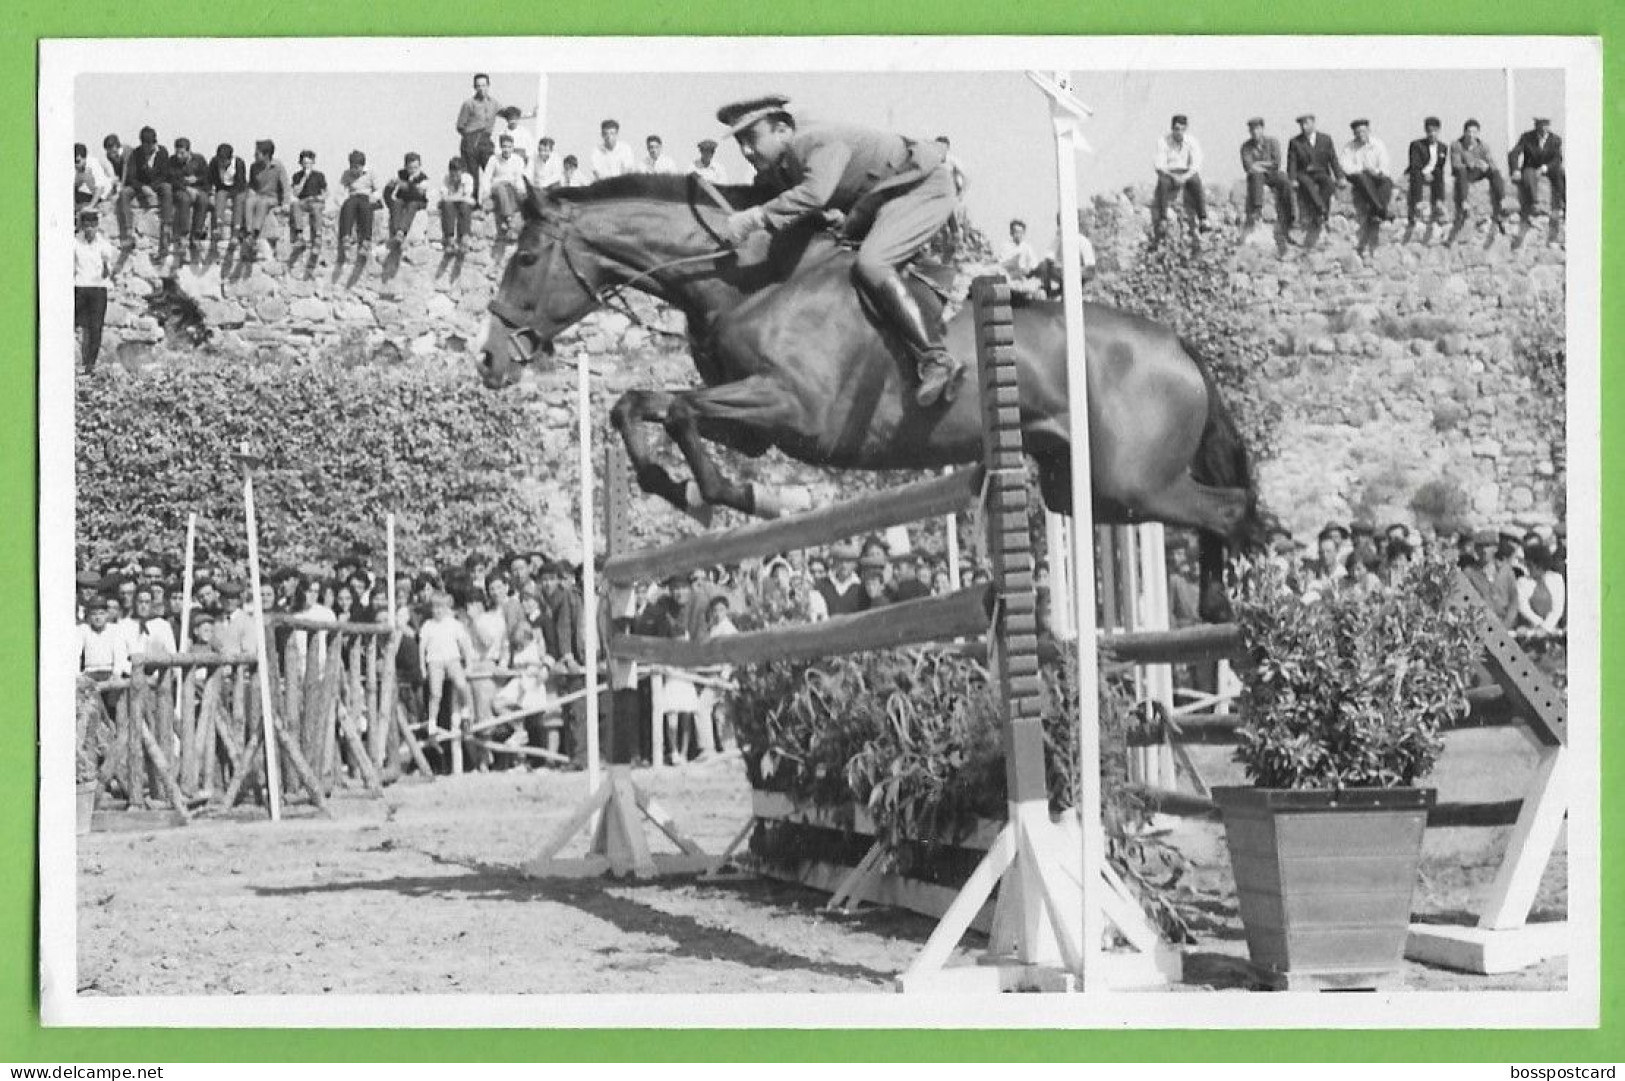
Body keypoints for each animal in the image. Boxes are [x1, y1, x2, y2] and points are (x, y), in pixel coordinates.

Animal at [474, 176, 1261, 614]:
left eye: (525, 257)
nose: (488, 360)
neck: (750, 278)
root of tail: (1174, 343)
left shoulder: (791, 410)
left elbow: (679, 408)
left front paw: (735, 495)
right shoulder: (753, 420)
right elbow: (638, 403)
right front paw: (678, 487)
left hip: (1131, 481)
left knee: (1227, 509)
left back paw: (1227, 608)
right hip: (1082, 489)